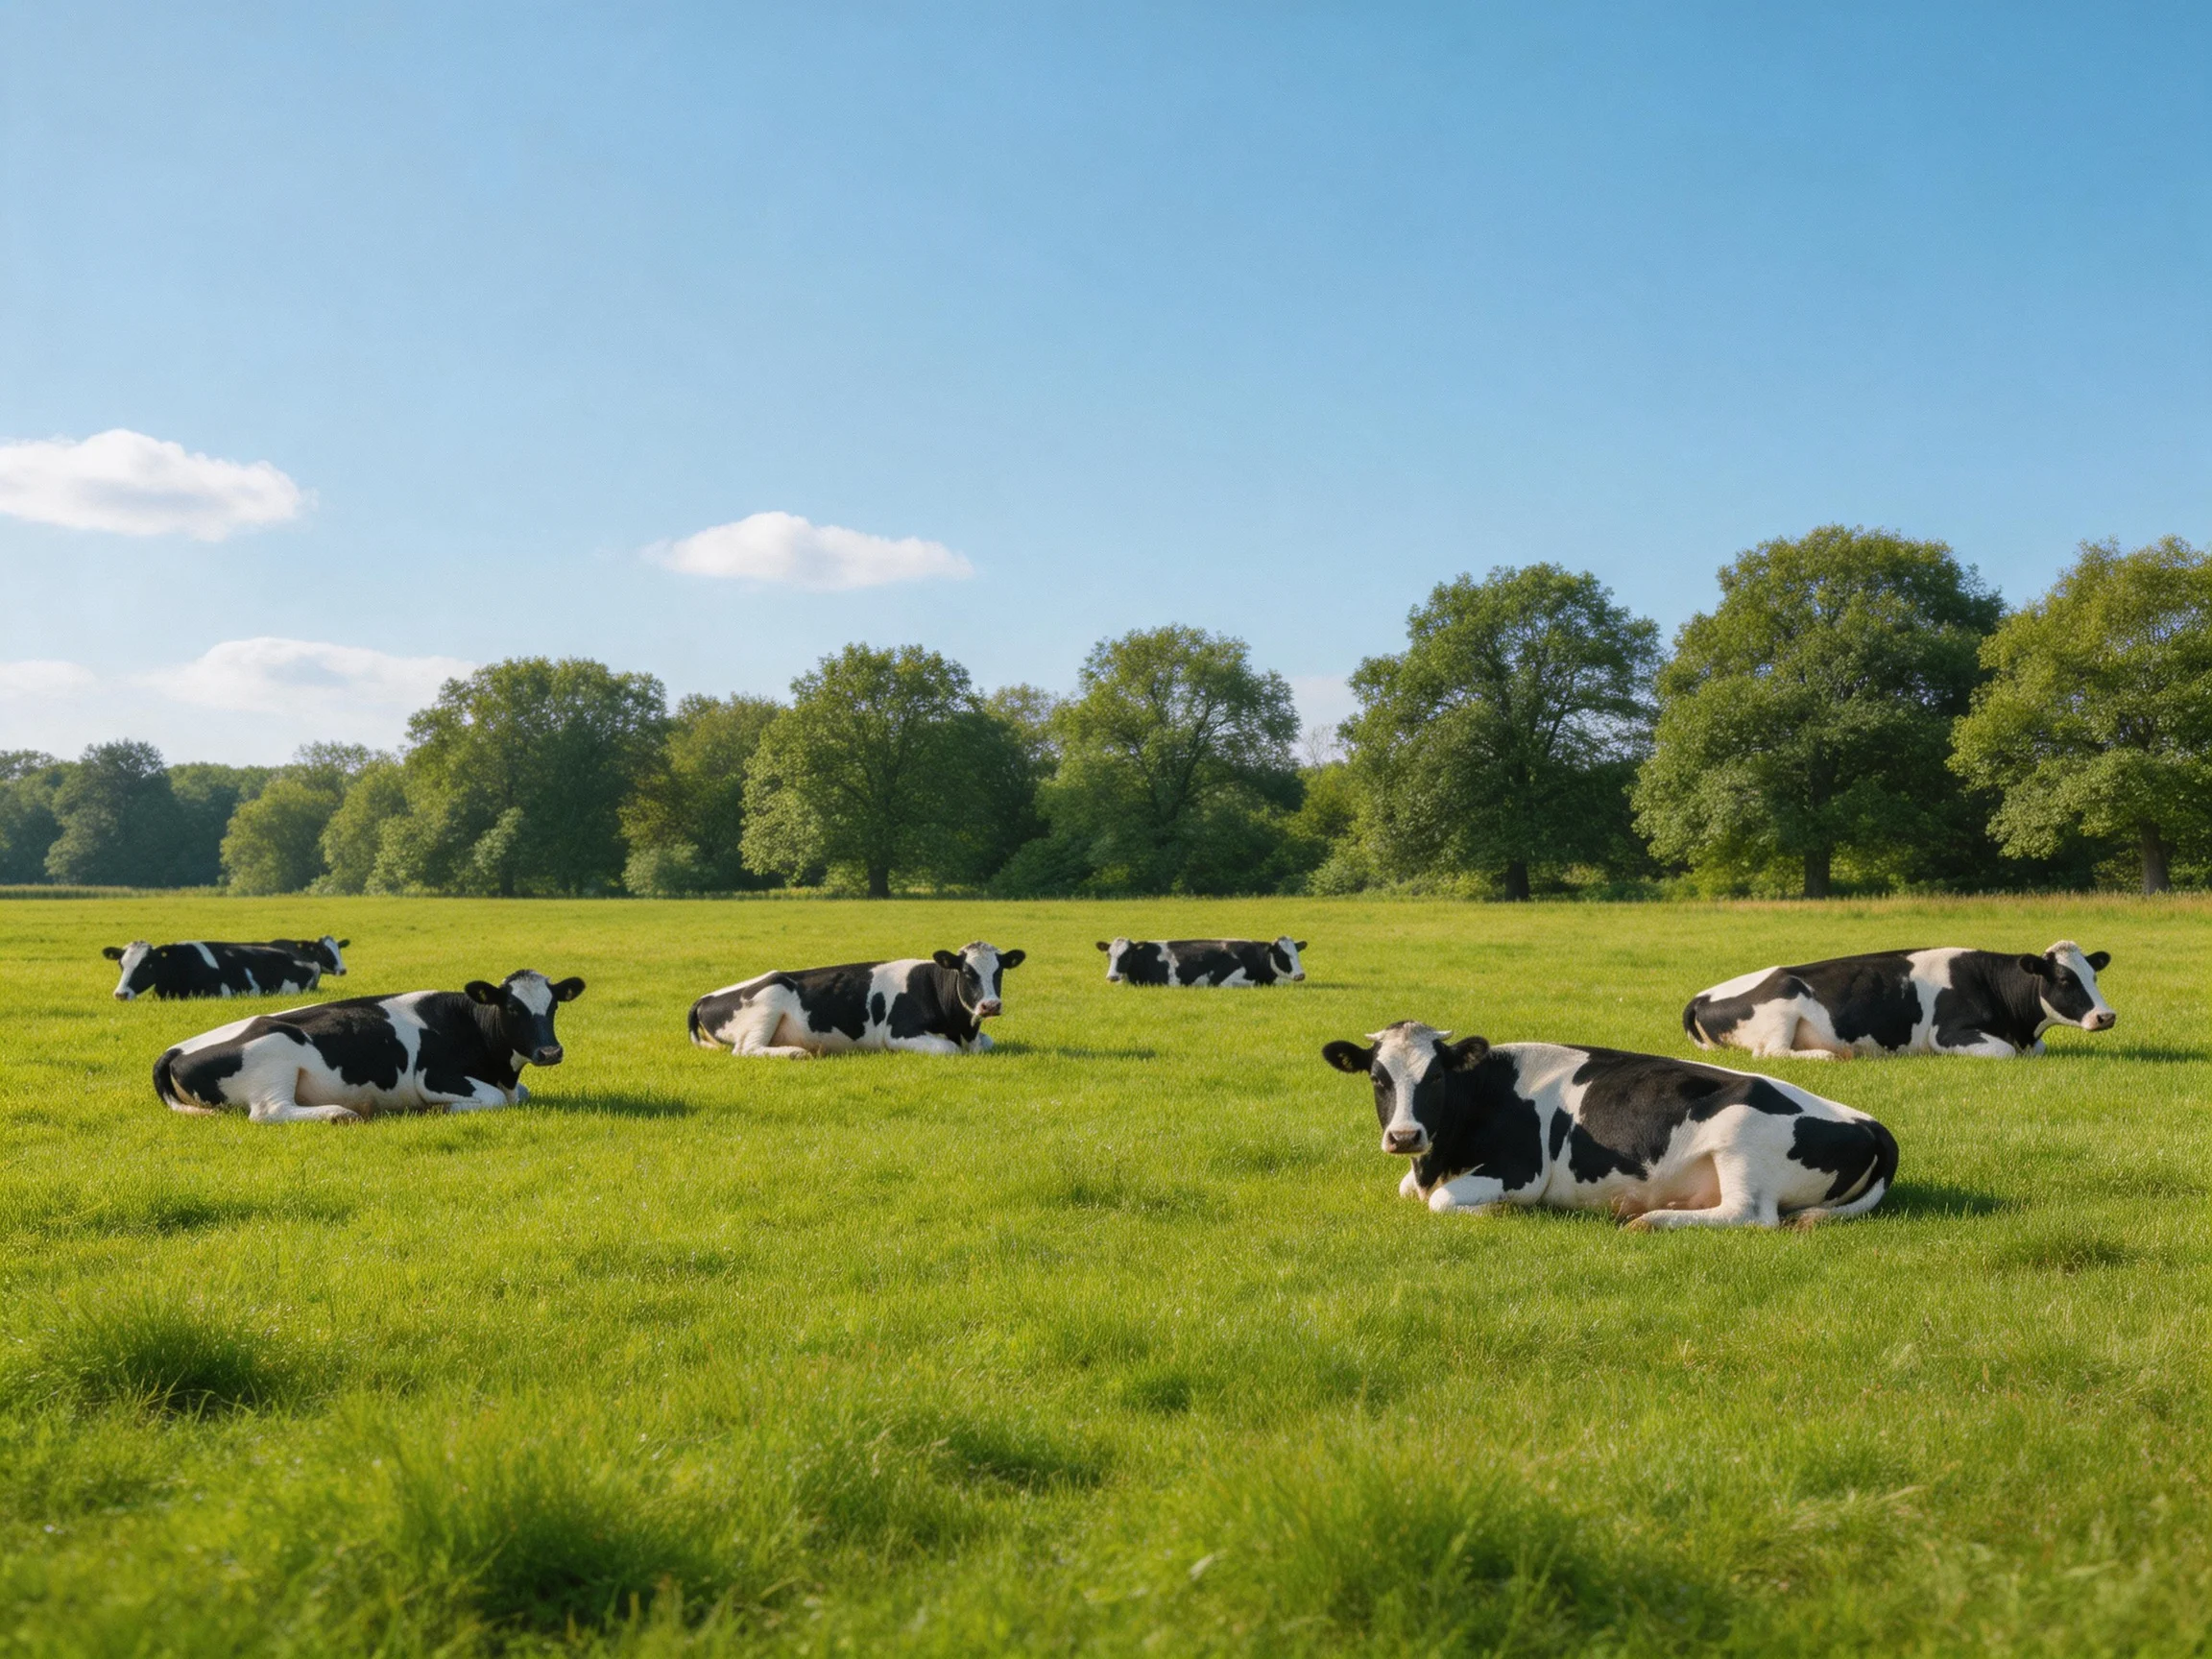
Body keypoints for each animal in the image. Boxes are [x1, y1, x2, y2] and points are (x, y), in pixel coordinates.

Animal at [152, 969, 585, 1124]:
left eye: (553, 1006)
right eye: (512, 1007)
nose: (550, 1052)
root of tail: (178, 1048)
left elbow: (522, 1094)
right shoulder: (434, 1076)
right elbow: (492, 1100)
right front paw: (441, 1110)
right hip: (274, 1056)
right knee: (268, 1112)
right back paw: (339, 1114)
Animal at [688, 942, 1023, 1058]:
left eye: (999, 972)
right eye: (967, 972)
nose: (990, 1005)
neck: (962, 1028)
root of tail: (706, 997)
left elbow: (988, 1043)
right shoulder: (898, 1033)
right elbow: (948, 1049)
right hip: (770, 999)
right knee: (746, 1049)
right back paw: (796, 1053)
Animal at [1323, 1021, 1896, 1229]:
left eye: (1437, 1075)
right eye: (1377, 1077)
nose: (1404, 1136)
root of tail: (1866, 1120)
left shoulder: (1521, 1171)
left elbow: (1444, 1201)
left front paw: (1498, 1211)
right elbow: (1407, 1190)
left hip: (1741, 1143)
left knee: (1750, 1216)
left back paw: (1652, 1220)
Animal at [1682, 941, 2115, 1060]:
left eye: (2093, 975)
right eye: (2064, 978)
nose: (2105, 1016)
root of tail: (1703, 995)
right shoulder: (1948, 1034)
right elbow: (2003, 1052)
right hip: (1782, 1010)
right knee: (1769, 1053)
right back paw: (1830, 1055)